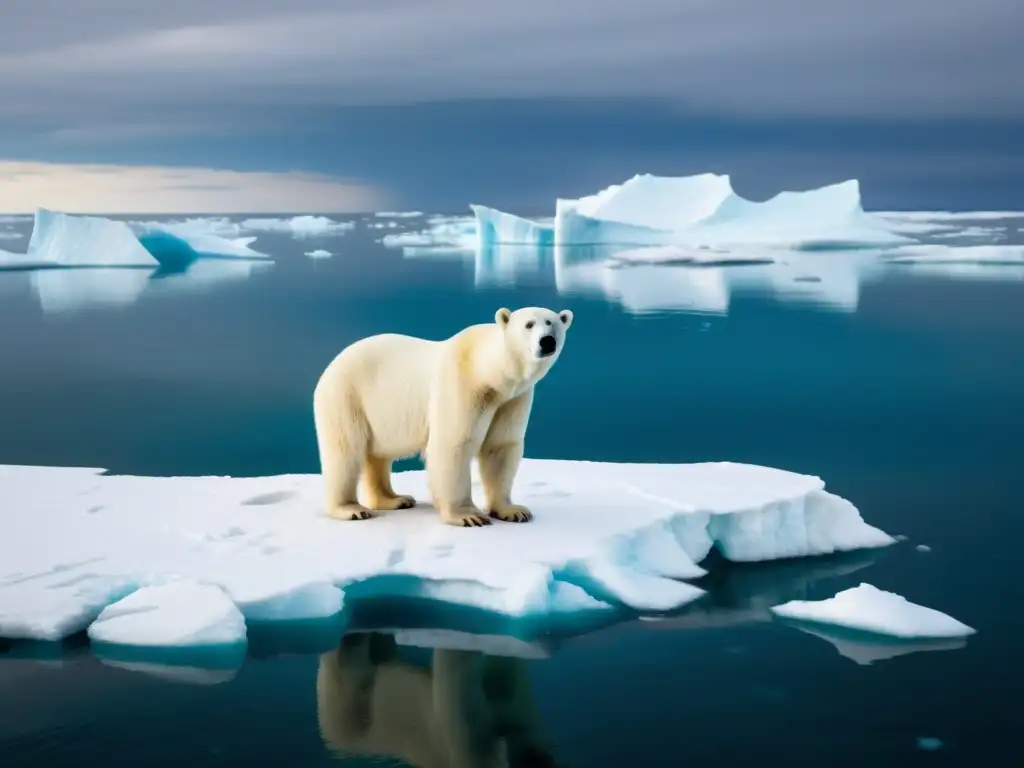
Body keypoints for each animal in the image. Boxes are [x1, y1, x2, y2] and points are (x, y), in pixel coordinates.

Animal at [313, 307, 569, 528]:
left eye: (552, 323)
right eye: (529, 324)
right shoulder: (463, 385)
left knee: (378, 456)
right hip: (347, 396)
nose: (547, 341)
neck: (487, 371)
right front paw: (468, 516)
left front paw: (513, 511)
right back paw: (351, 509)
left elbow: (501, 446)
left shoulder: (512, 400)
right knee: (346, 451)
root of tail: (331, 365)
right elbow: (453, 444)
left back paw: (396, 499)